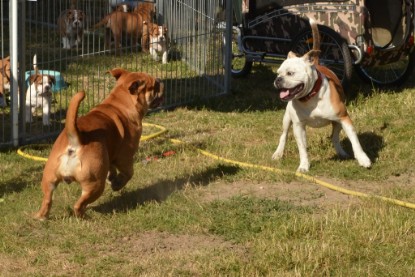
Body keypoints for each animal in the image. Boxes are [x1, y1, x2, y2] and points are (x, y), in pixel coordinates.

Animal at [34, 68, 164, 219]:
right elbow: (128, 173)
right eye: (154, 85)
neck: (120, 102)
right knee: (78, 205)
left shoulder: (109, 154)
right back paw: (83, 216)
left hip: (49, 179)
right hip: (95, 184)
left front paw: (112, 178)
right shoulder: (125, 157)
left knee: (47, 199)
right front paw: (117, 184)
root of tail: (76, 141)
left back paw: (41, 217)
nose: (160, 80)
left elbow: (112, 168)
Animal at [272, 18, 372, 171]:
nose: (278, 80)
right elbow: (302, 148)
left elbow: (355, 142)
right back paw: (278, 153)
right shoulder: (298, 127)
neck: (310, 97)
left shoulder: (344, 118)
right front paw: (304, 165)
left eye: (290, 73)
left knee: (335, 137)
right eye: (278, 73)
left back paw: (341, 152)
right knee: (284, 135)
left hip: (337, 122)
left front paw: (363, 159)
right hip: (287, 119)